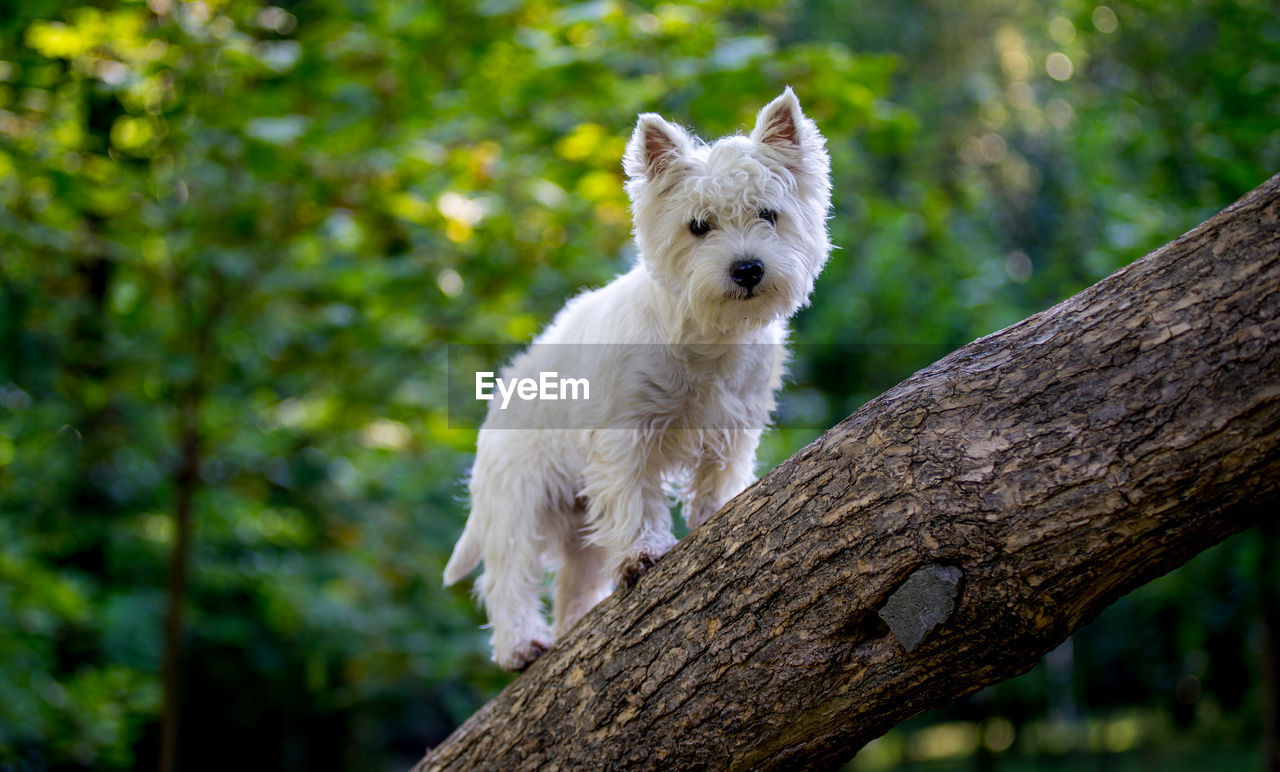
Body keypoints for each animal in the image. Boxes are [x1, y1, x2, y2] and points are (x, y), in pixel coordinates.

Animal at [445, 88, 834, 670]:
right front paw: (643, 553)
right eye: (698, 226)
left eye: (769, 214)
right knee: (508, 576)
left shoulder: (734, 420)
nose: (747, 269)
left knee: (575, 581)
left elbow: (718, 475)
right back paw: (521, 645)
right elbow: (634, 498)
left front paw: (716, 512)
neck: (708, 335)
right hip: (518, 498)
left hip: (575, 524)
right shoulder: (624, 432)